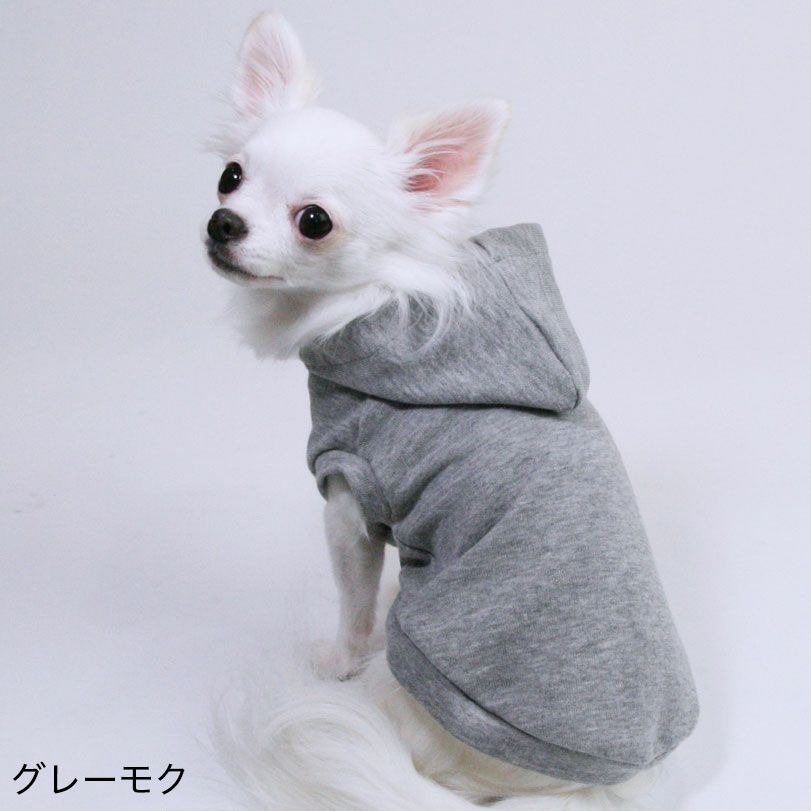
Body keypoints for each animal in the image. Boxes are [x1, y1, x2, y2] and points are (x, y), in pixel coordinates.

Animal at [203, 11, 698, 810]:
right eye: (230, 177)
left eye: (314, 221)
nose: (223, 223)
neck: (381, 300)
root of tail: (592, 786)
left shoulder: (348, 501)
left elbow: (352, 600)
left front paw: (338, 659)